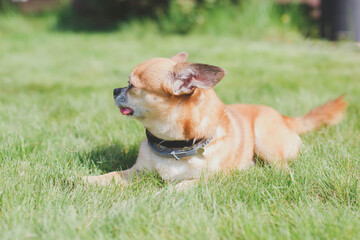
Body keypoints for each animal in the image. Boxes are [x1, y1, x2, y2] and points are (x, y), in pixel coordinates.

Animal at [83, 52, 348, 189]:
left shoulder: (213, 178)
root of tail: (286, 118)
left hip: (265, 139)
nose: (115, 90)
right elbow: (113, 175)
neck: (172, 146)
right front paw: (87, 180)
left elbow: (181, 185)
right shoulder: (135, 172)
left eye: (132, 86)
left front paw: (163, 193)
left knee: (282, 168)